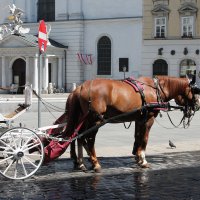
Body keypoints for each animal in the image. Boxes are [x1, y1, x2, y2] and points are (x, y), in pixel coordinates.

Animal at [64, 76, 200, 171]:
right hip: (95, 119)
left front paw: (138, 157)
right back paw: (95, 163)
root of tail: (80, 87)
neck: (155, 89)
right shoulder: (149, 119)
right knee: (89, 139)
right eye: (196, 90)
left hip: (84, 118)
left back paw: (80, 162)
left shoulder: (139, 119)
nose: (197, 105)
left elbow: (138, 137)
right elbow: (144, 139)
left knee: (79, 136)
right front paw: (143, 160)